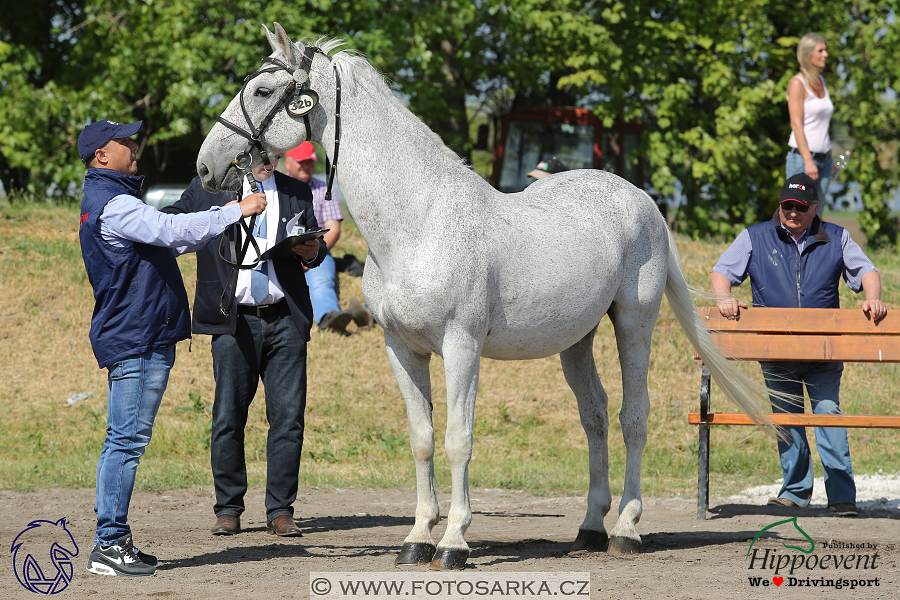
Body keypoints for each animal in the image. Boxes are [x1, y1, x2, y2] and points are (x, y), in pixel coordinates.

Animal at [199, 22, 780, 568]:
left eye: (262, 90)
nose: (207, 166)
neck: (419, 223)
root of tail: (642, 201)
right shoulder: (401, 349)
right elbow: (423, 438)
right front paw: (416, 539)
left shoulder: (461, 347)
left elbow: (459, 438)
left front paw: (454, 542)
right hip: (577, 340)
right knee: (594, 416)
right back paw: (589, 527)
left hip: (634, 322)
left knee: (632, 417)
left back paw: (625, 530)